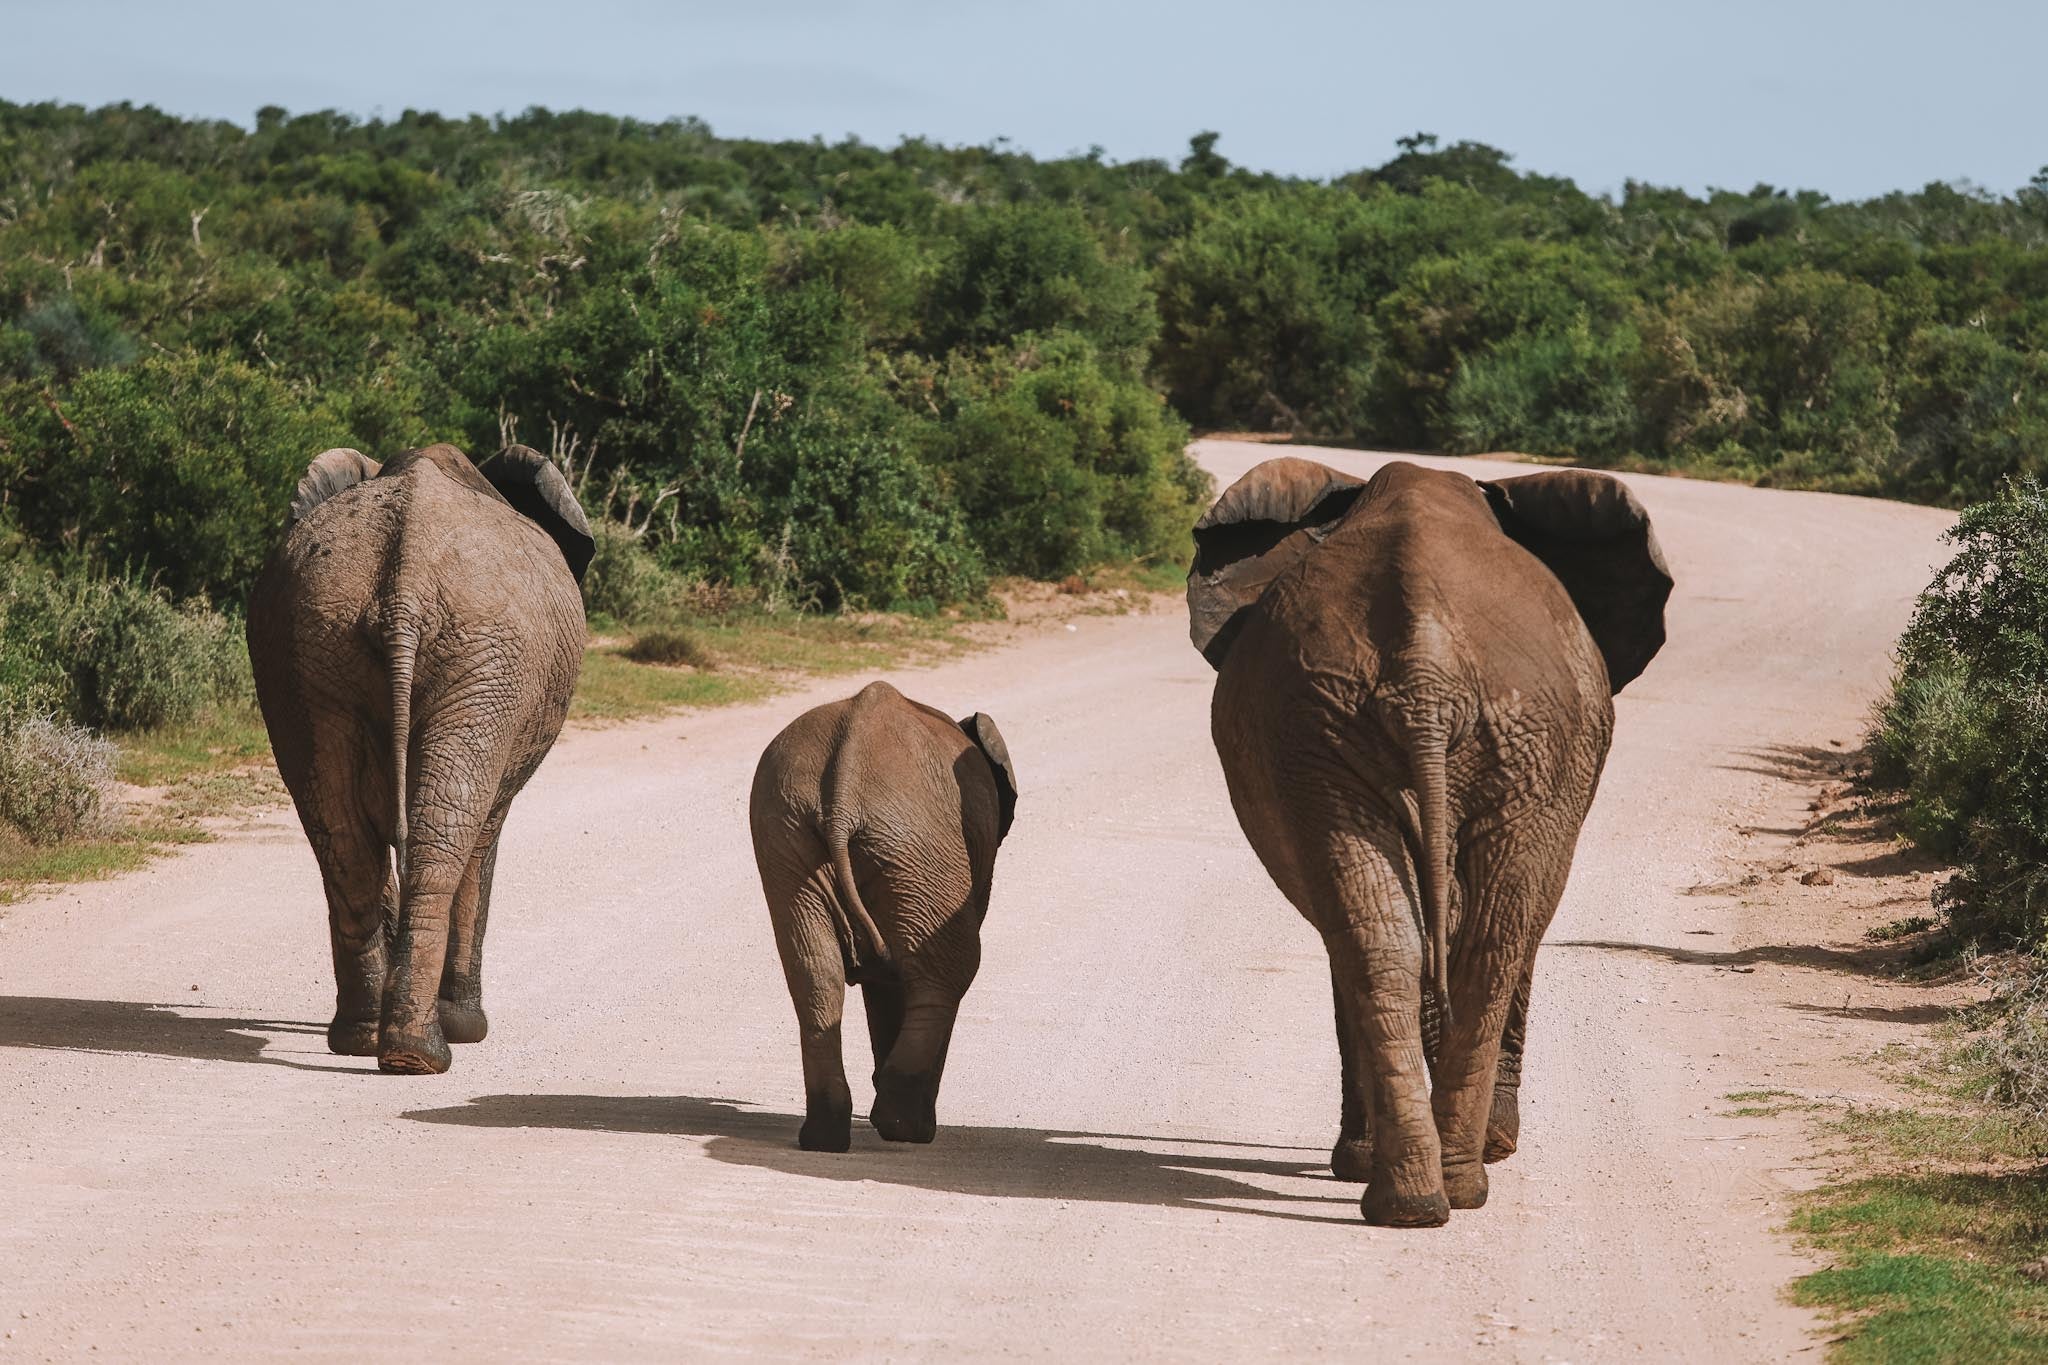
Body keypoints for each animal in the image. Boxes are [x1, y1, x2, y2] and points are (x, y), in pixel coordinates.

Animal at [248, 442, 593, 1076]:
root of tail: (402, 589)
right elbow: (482, 843)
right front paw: (466, 1027)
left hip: (307, 647)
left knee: (342, 837)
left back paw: (366, 1040)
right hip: (484, 659)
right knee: (444, 833)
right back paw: (425, 1051)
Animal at [748, 680, 1019, 1152]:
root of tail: (842, 795)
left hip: (787, 833)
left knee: (814, 972)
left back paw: (825, 1137)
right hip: (917, 842)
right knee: (948, 972)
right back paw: (906, 1129)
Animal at [1188, 457, 1671, 1227]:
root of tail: (1427, 675)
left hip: (1380, 735)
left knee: (1410, 941)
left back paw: (1419, 1197)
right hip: (1403, 735)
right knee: (1470, 939)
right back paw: (1445, 1184)